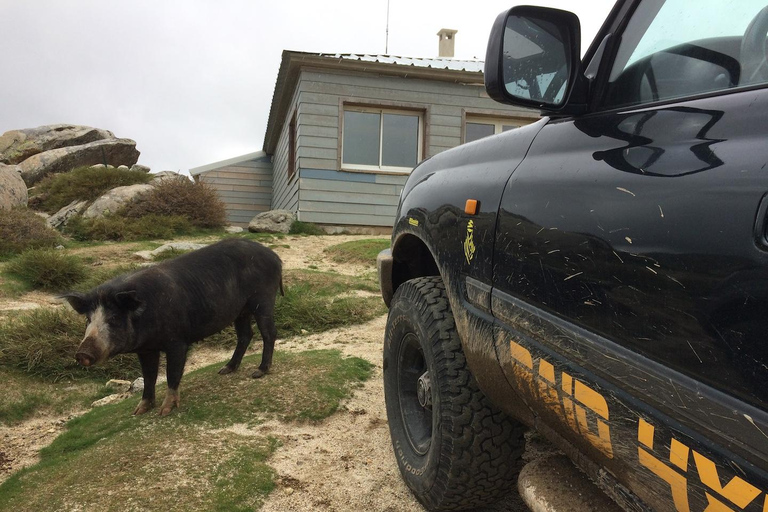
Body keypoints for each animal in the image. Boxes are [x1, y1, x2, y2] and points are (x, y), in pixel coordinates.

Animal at [59, 239, 282, 416]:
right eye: (88, 319)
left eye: (113, 318)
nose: (82, 353)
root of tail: (274, 256)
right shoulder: (146, 349)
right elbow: (149, 376)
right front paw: (139, 411)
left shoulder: (177, 342)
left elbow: (172, 374)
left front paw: (164, 412)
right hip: (240, 310)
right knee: (246, 335)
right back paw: (225, 370)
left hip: (263, 299)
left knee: (269, 333)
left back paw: (258, 372)